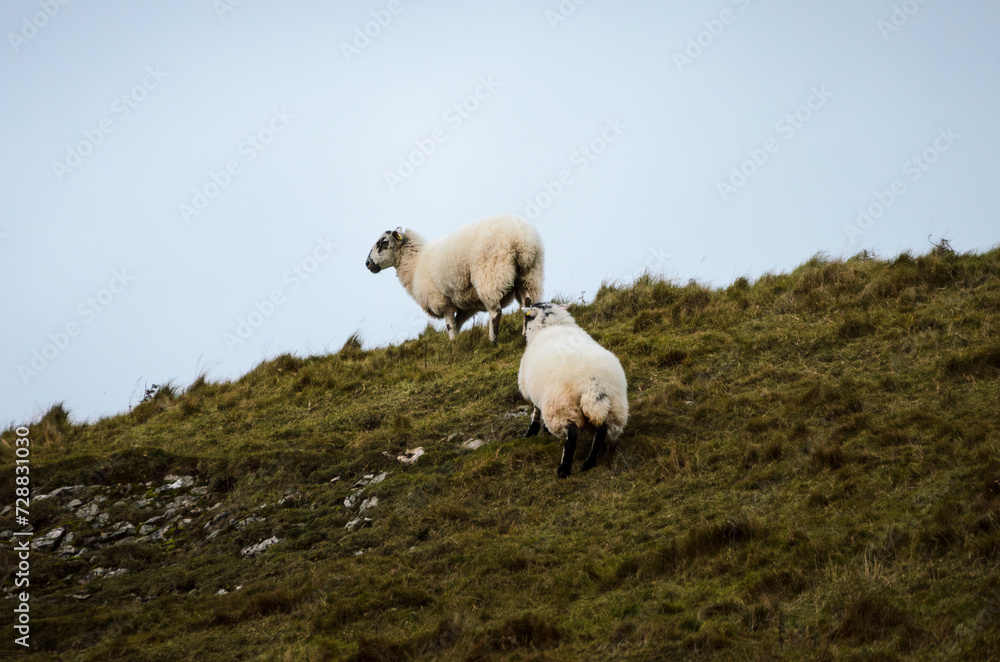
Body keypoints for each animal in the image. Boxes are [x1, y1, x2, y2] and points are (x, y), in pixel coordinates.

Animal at [365, 214, 544, 343]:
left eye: (384, 242)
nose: (367, 263)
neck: (415, 264)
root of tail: (520, 240)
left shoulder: (443, 303)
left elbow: (450, 326)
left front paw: (452, 345)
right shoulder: (464, 304)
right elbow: (457, 325)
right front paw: (456, 344)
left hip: (489, 275)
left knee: (496, 312)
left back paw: (492, 340)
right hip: (529, 274)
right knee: (528, 303)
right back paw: (525, 333)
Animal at [517, 302, 629, 478]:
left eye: (527, 317)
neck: (552, 325)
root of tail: (594, 384)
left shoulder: (532, 388)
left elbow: (536, 410)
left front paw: (532, 431)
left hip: (563, 406)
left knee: (571, 437)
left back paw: (564, 470)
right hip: (613, 407)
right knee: (602, 430)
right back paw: (589, 463)